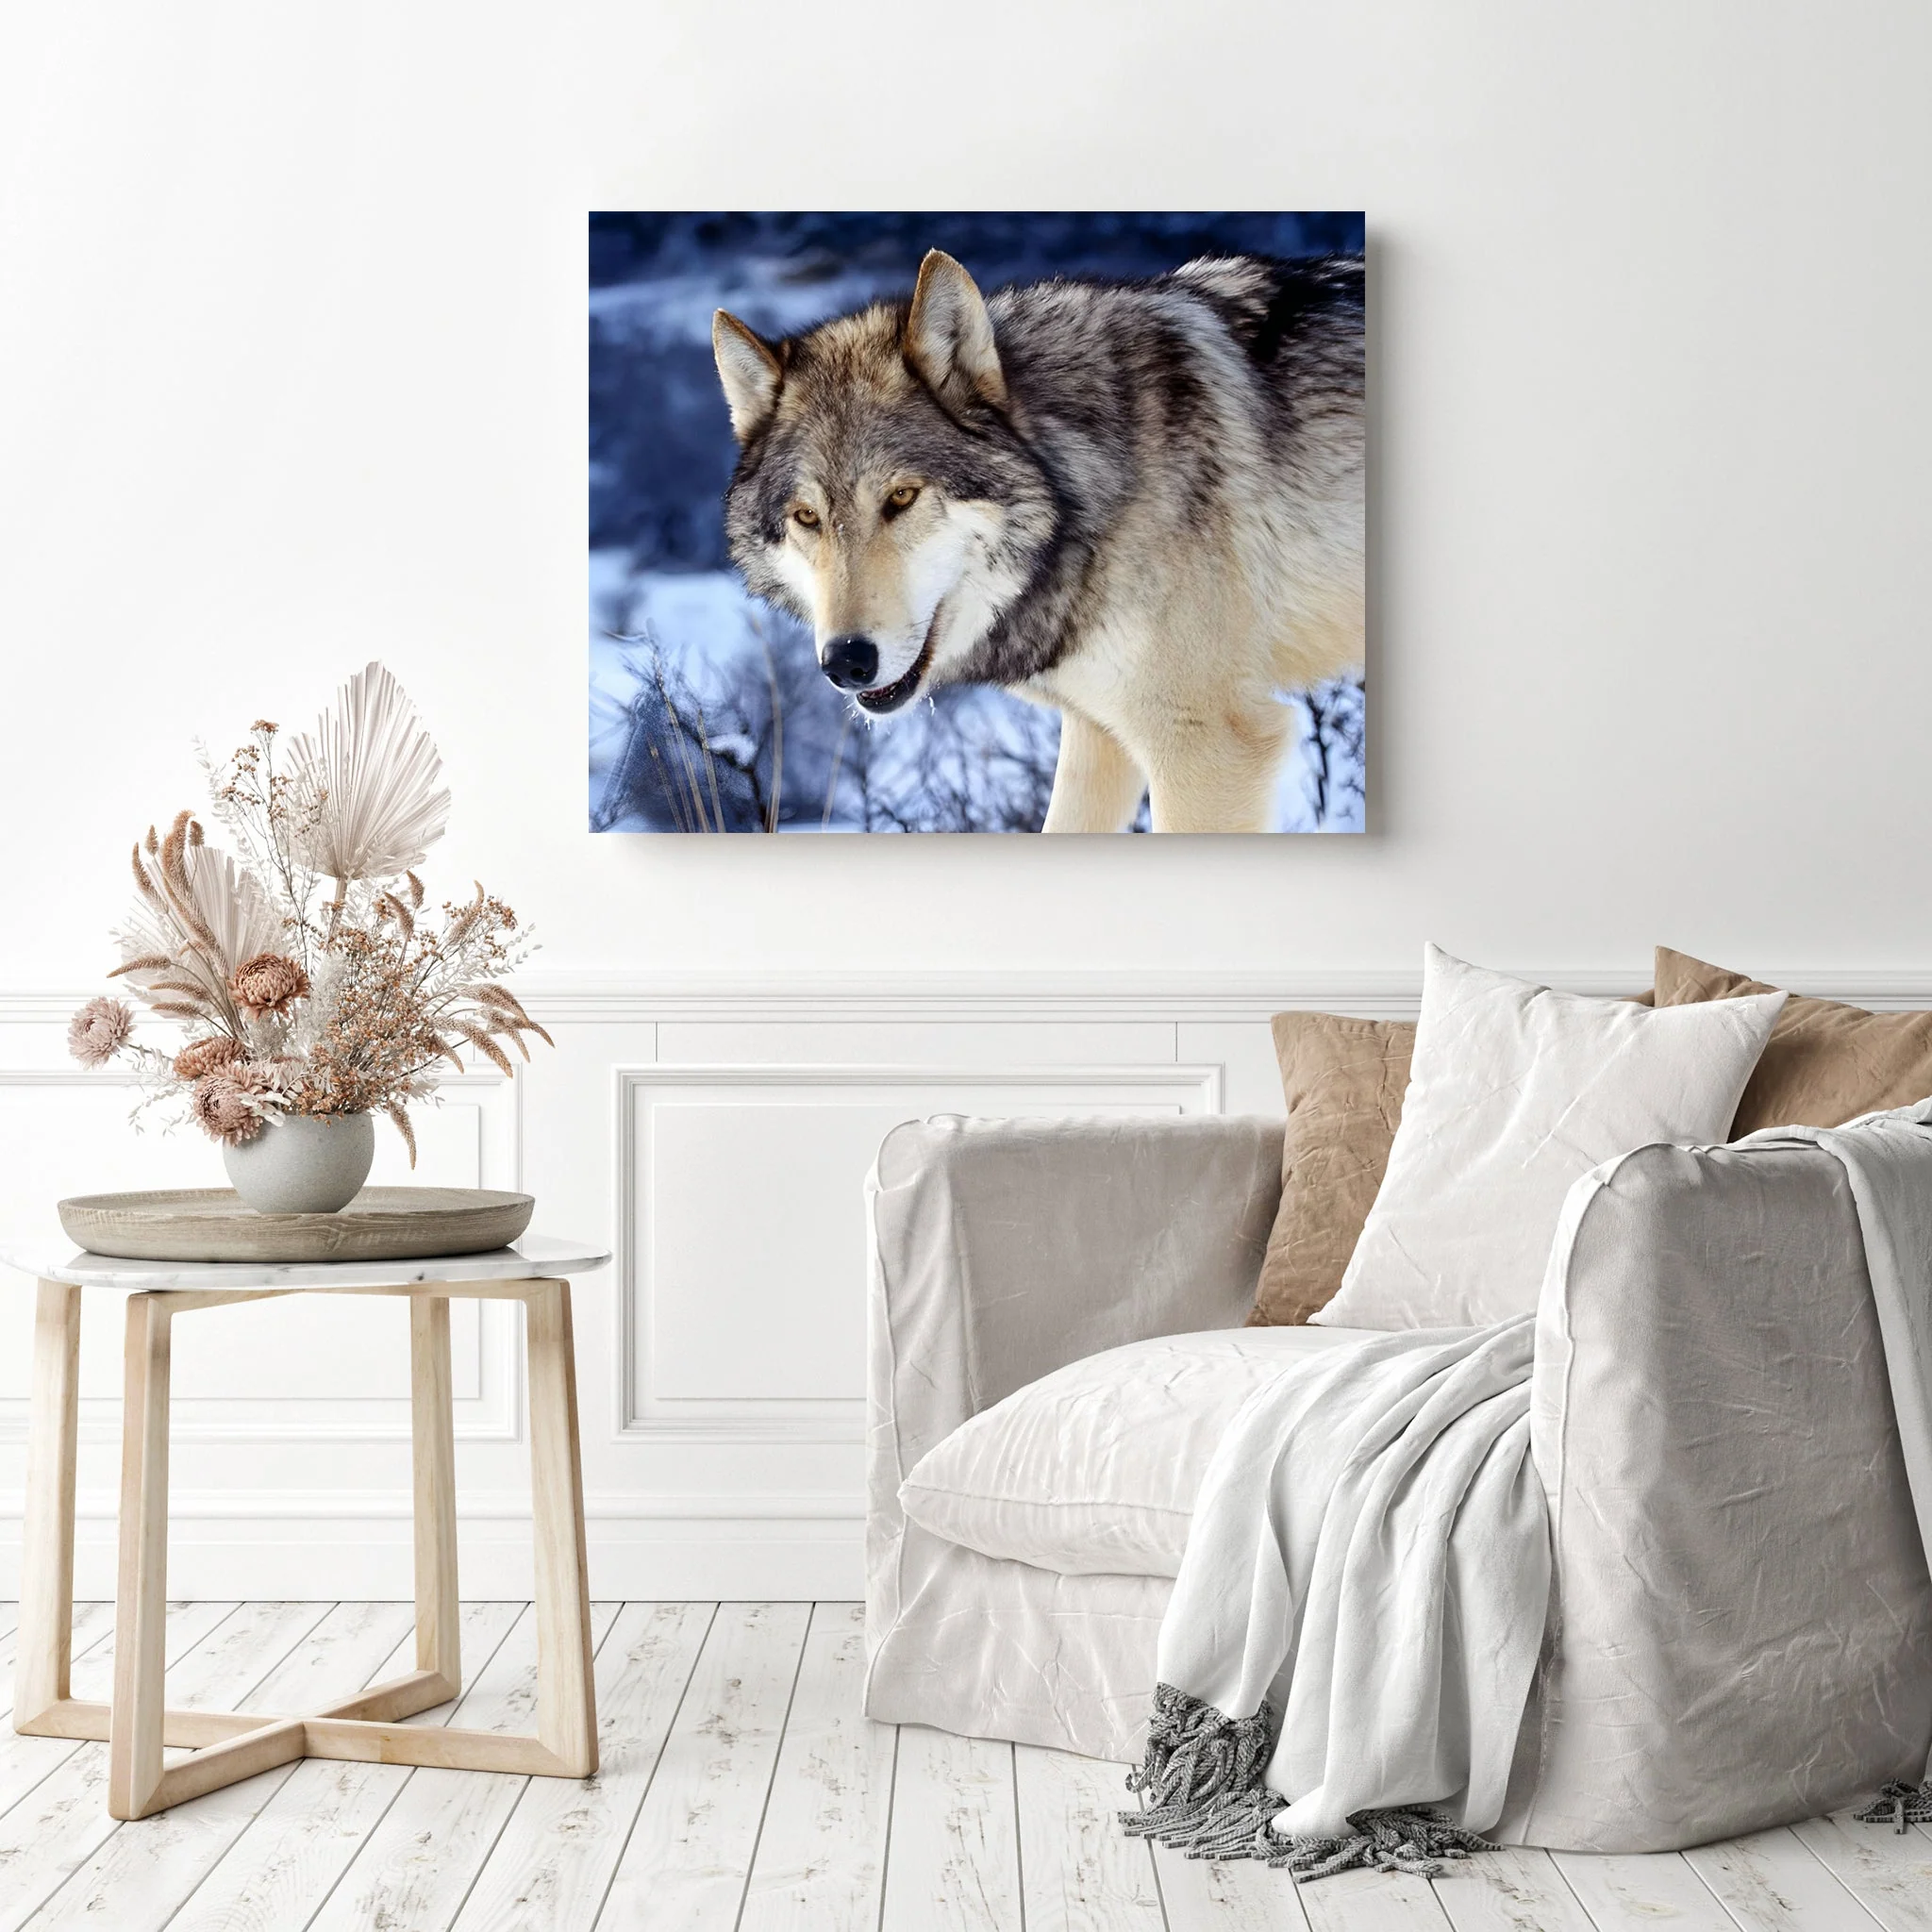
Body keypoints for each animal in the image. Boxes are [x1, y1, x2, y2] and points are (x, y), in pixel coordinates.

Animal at [711, 247, 1364, 832]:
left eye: (900, 497)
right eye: (807, 517)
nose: (846, 661)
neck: (1089, 491)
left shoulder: (1207, 748)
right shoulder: (1099, 733)